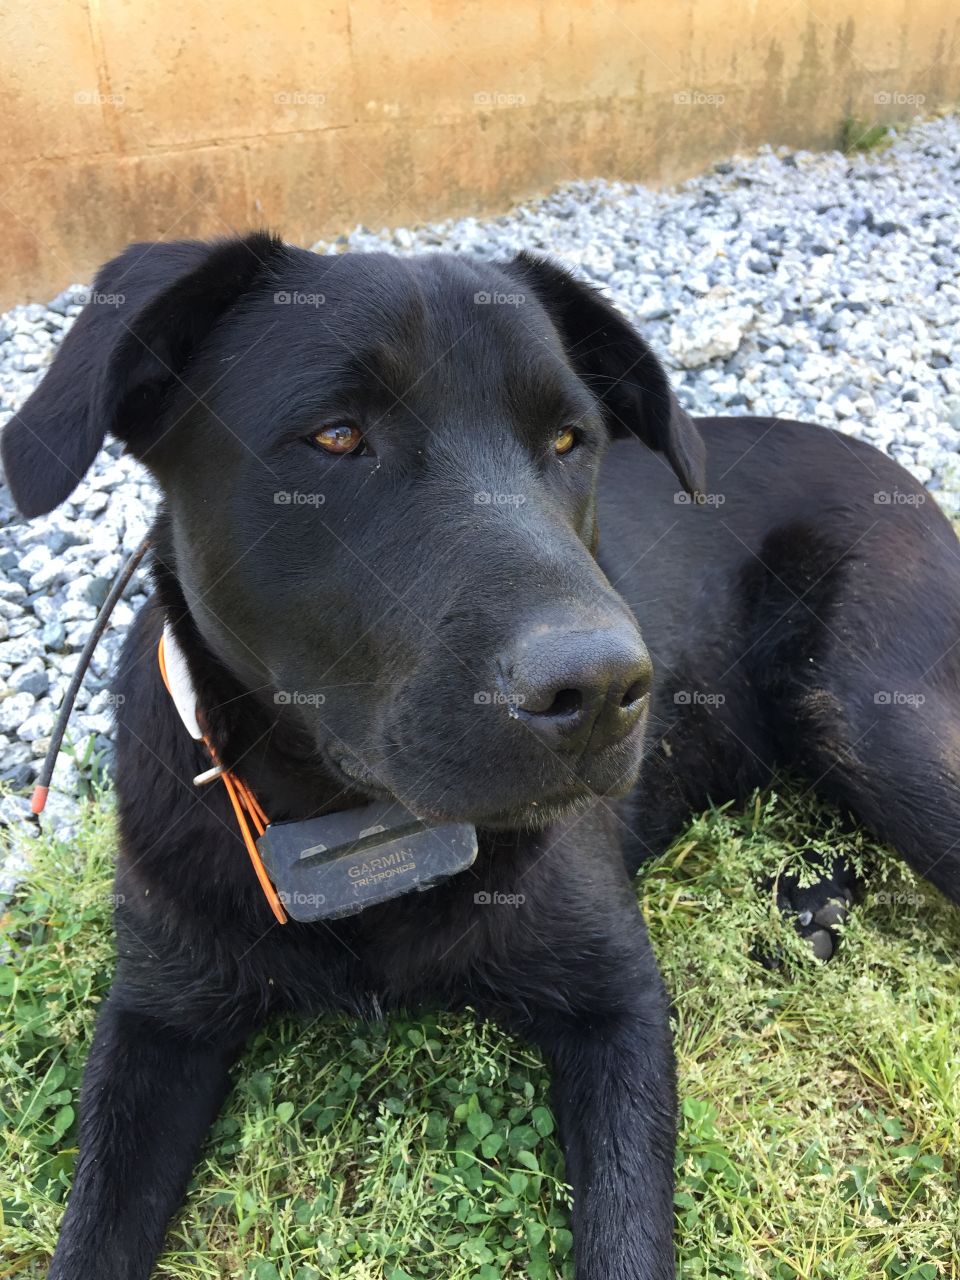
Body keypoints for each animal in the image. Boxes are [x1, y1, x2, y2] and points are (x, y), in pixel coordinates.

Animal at [3, 232, 957, 1280]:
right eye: (336, 436)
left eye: (571, 441)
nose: (603, 692)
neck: (355, 826)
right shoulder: (156, 1016)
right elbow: (91, 1230)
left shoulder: (617, 997)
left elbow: (627, 1224)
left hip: (868, 716)